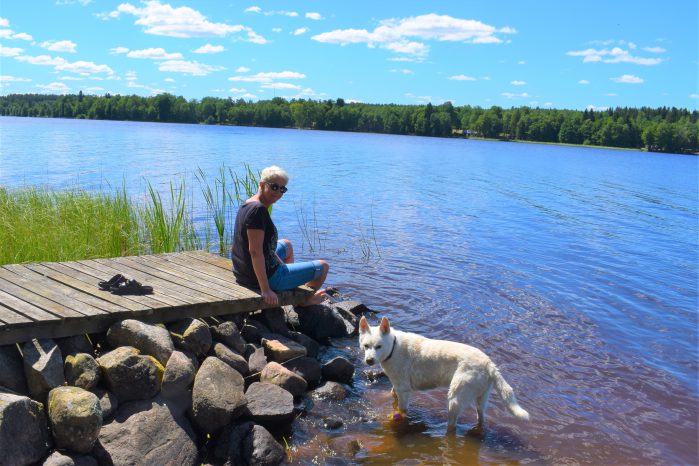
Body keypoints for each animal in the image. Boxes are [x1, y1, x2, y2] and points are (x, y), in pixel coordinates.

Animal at [358, 316, 529, 432]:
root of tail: (490, 365)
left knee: (452, 425)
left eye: (378, 346)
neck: (393, 348)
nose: (369, 360)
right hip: (481, 399)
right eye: (366, 346)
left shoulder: (404, 390)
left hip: (455, 398)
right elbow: (391, 395)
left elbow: (402, 411)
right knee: (481, 418)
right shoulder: (397, 386)